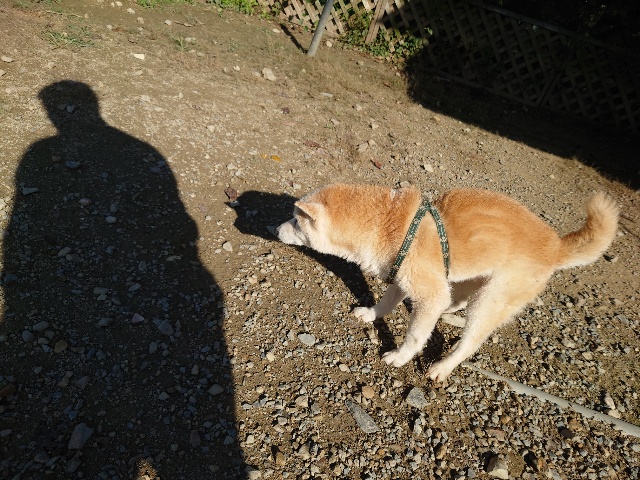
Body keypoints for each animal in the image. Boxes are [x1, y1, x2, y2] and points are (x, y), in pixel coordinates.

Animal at [275, 184, 619, 382]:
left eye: (295, 221)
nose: (276, 229)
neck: (390, 224)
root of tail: (556, 247)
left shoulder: (429, 292)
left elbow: (416, 336)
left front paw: (400, 357)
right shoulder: (405, 277)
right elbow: (386, 303)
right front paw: (371, 313)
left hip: (489, 300)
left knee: (469, 343)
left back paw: (442, 367)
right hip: (469, 279)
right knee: (457, 300)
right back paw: (451, 313)